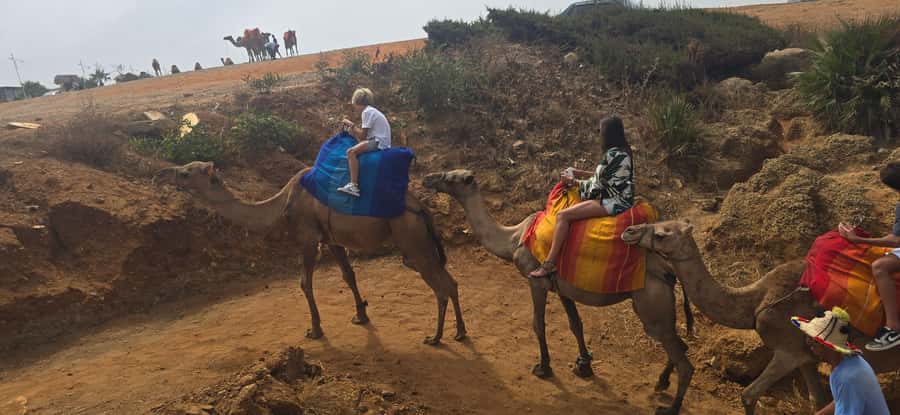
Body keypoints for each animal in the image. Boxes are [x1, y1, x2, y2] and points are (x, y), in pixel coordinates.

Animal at [153, 161, 467, 345]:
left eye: (184, 171)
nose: (159, 174)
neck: (281, 205)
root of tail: (420, 206)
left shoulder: (308, 238)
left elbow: (304, 283)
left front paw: (314, 330)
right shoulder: (332, 239)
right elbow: (348, 276)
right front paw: (361, 316)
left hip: (411, 239)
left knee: (442, 285)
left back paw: (438, 336)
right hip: (418, 241)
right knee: (449, 281)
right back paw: (457, 332)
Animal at [423, 170, 695, 415]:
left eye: (451, 177)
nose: (428, 178)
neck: (514, 238)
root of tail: (667, 267)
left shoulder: (536, 281)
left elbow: (538, 324)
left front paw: (543, 367)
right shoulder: (562, 287)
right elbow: (575, 323)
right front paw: (584, 365)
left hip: (651, 302)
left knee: (680, 354)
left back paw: (671, 406)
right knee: (679, 343)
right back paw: (661, 382)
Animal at [621, 220, 900, 415]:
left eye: (661, 234)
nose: (629, 231)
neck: (756, 302)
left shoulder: (787, 351)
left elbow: (748, 395)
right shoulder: (805, 356)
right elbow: (816, 401)